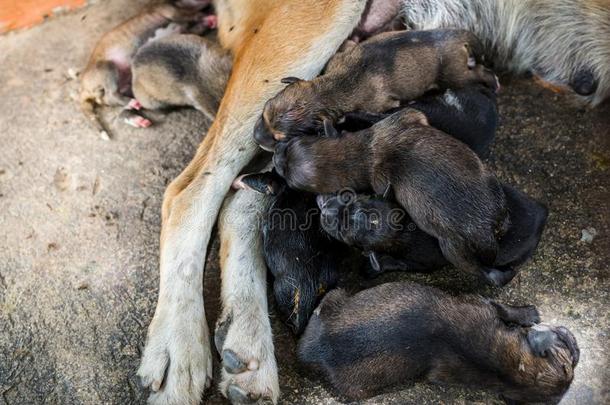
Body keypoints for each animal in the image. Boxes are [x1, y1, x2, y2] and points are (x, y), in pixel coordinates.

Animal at [254, 28, 496, 150]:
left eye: (281, 138)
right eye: (263, 112)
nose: (256, 139)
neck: (332, 88)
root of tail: (455, 35)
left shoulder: (381, 104)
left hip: (455, 74)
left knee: (479, 72)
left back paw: (493, 83)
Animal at [272, 107, 508, 284]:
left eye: (289, 178)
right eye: (292, 144)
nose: (275, 155)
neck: (361, 155)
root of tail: (485, 229)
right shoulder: (406, 119)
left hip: (453, 249)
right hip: (492, 183)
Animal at [300, 282, 580, 402]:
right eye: (566, 365)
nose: (576, 348)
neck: (502, 367)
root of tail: (310, 352)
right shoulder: (479, 303)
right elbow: (503, 307)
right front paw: (529, 313)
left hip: (333, 297)